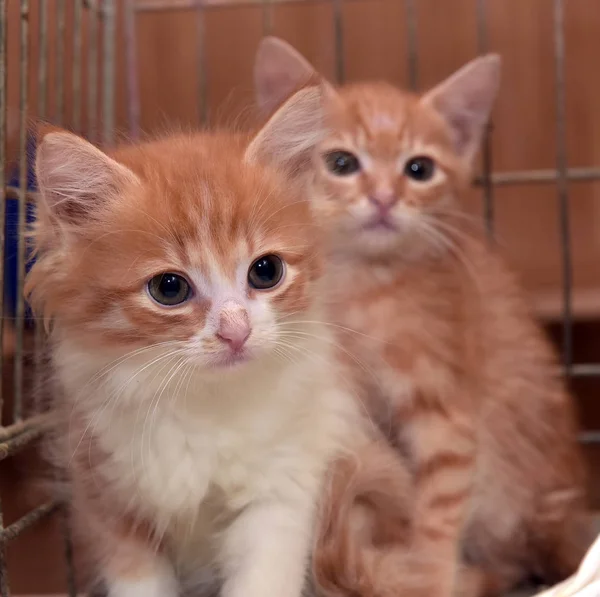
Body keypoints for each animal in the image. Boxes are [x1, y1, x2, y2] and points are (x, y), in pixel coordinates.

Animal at [25, 86, 358, 596]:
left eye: (266, 271)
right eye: (169, 288)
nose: (236, 330)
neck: (206, 404)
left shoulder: (282, 485)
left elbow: (263, 577)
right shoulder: (106, 495)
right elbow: (139, 582)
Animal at [253, 37, 592, 596]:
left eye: (419, 170)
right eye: (342, 162)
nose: (384, 198)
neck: (362, 290)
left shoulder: (447, 411)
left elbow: (436, 510)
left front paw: (428, 576)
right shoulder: (344, 398)